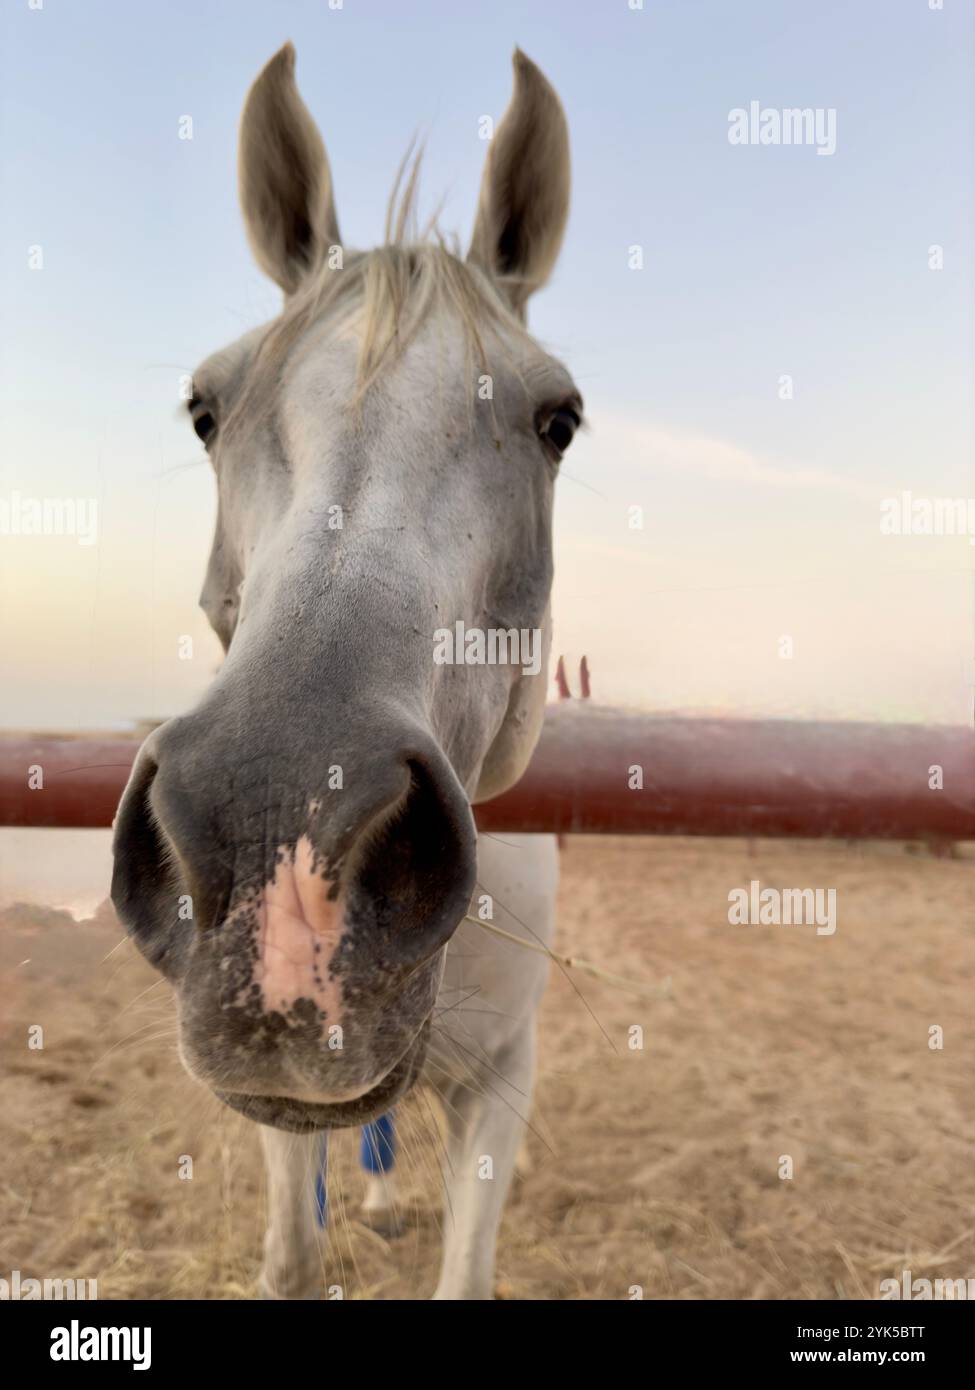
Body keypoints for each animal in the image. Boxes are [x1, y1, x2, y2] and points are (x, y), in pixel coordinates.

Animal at [111, 41, 581, 1300]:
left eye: (557, 420)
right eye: (205, 410)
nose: (282, 826)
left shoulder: (506, 1082)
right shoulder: (275, 1101)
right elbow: (290, 1253)